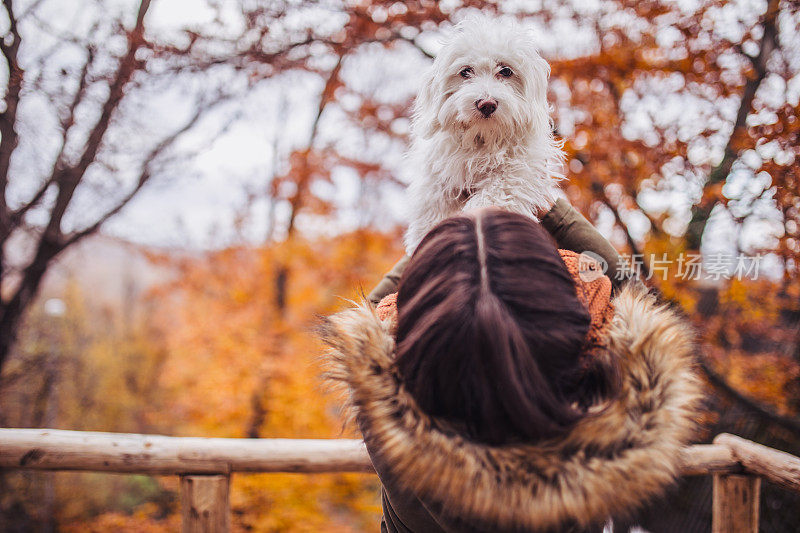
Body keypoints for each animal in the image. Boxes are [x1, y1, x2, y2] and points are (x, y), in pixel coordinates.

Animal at [404, 18, 564, 254]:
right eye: (465, 72)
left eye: (506, 71)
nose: (487, 104)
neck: (482, 139)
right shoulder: (437, 180)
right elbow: (430, 214)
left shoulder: (515, 172)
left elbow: (492, 196)